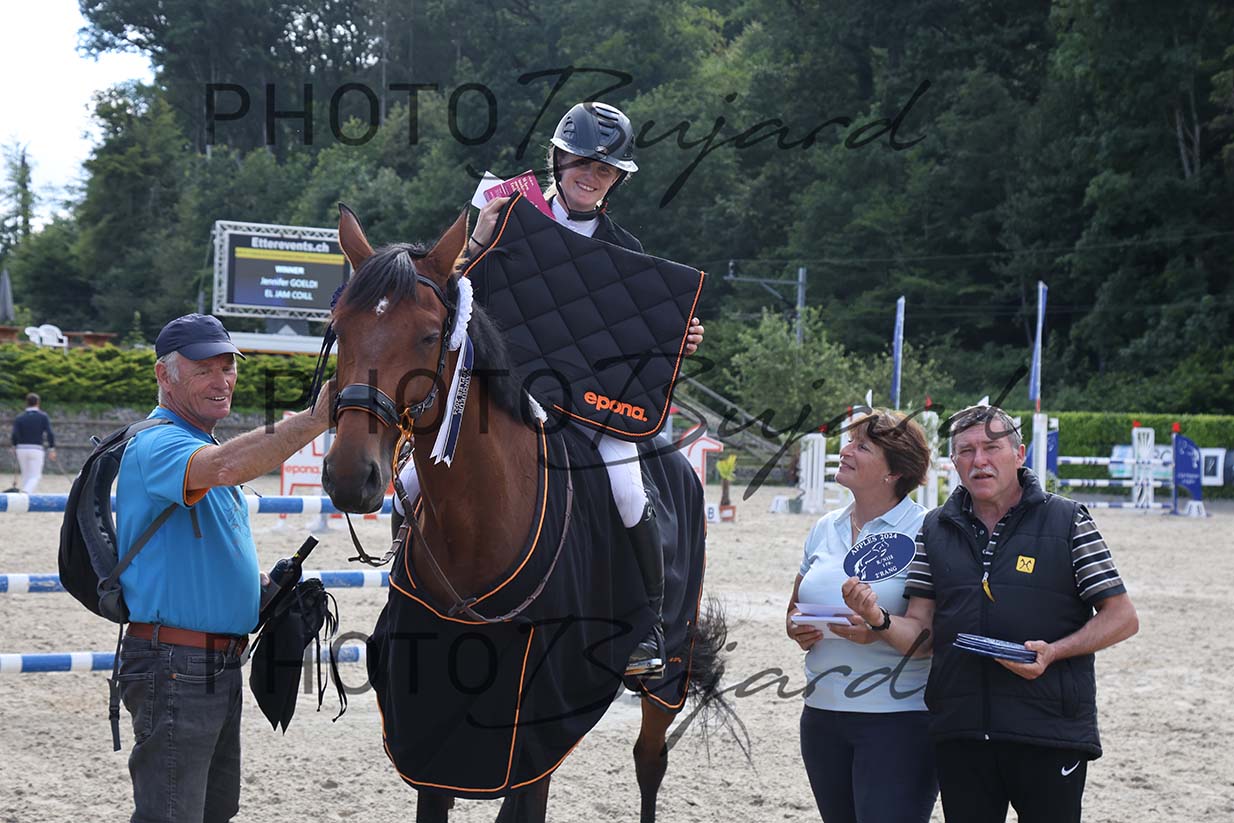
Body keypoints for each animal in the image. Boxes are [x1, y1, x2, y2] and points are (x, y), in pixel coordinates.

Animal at [320, 205, 734, 823]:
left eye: (427, 335)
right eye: (340, 327)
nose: (350, 476)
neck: (475, 532)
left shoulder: (534, 724)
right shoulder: (428, 728)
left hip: (667, 675)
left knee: (649, 760)